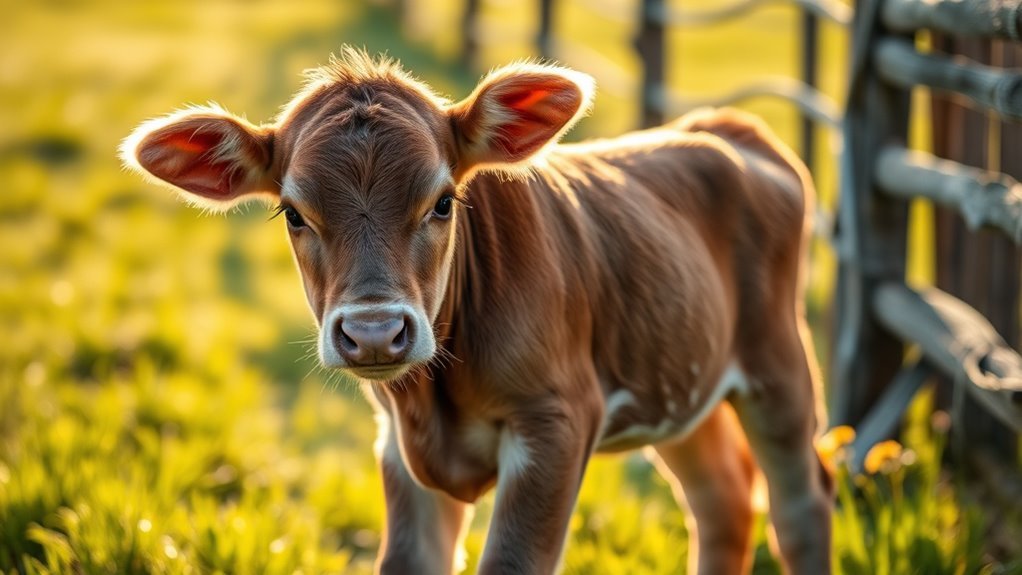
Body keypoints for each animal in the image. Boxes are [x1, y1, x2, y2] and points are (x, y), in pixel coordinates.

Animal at [122, 48, 832, 575]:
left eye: (442, 201)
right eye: (294, 213)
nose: (374, 332)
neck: (435, 401)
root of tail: (723, 126)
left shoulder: (556, 419)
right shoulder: (396, 446)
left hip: (779, 367)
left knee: (800, 508)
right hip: (682, 386)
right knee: (724, 501)